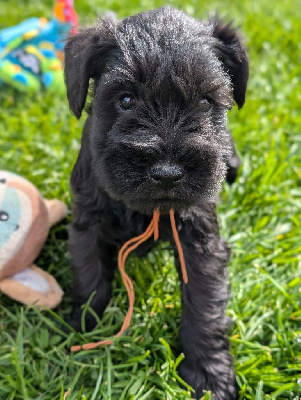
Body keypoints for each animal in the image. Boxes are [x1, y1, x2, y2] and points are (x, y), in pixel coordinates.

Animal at [64, 7, 247, 400]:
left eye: (205, 102)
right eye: (126, 100)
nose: (167, 173)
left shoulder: (200, 240)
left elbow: (204, 306)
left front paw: (208, 376)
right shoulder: (88, 223)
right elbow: (91, 277)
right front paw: (82, 328)